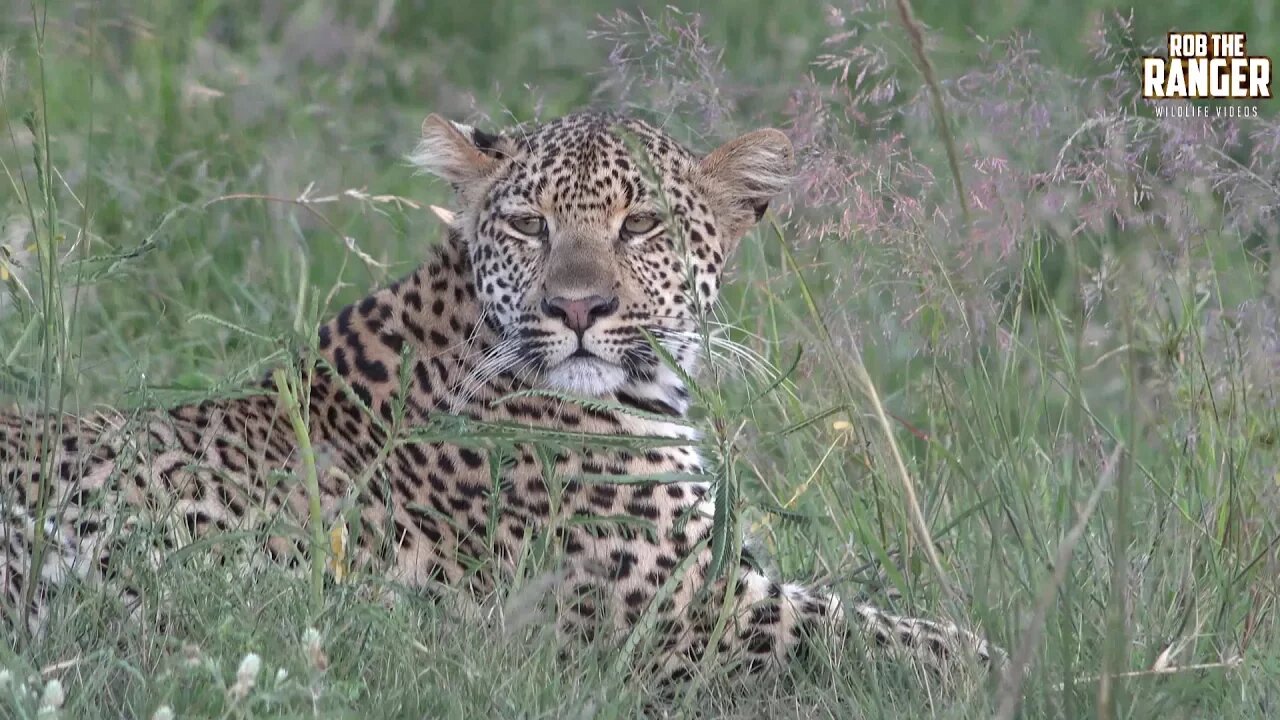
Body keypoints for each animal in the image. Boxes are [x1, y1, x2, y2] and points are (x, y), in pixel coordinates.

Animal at [0, 110, 998, 681]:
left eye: (643, 225)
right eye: (527, 223)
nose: (579, 307)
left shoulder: (715, 575)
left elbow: (885, 598)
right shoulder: (680, 611)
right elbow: (897, 636)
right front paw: (1010, 660)